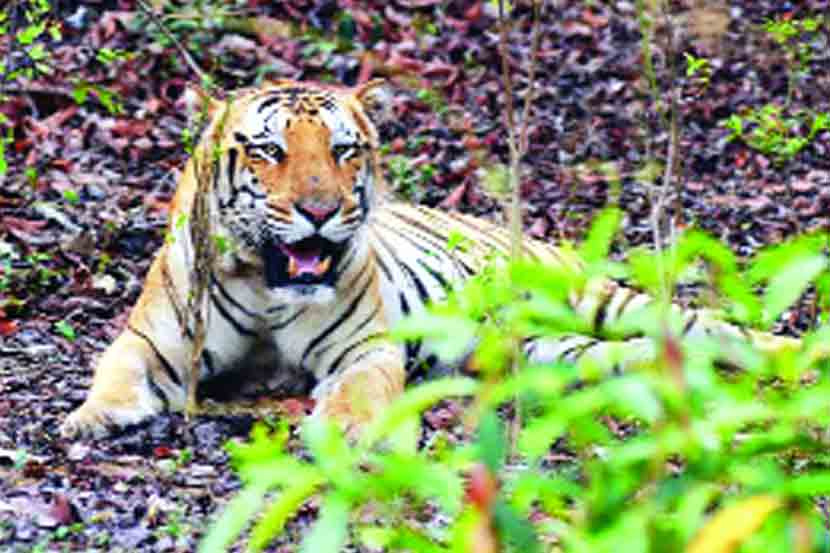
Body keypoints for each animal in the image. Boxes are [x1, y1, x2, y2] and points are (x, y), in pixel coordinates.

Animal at [61, 78, 808, 440]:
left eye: (344, 150)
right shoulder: (151, 339)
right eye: (270, 150)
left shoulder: (365, 348)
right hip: (563, 351)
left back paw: (797, 358)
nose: (319, 210)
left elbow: (364, 390)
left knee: (721, 329)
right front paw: (95, 417)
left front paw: (347, 427)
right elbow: (113, 368)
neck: (269, 289)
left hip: (602, 301)